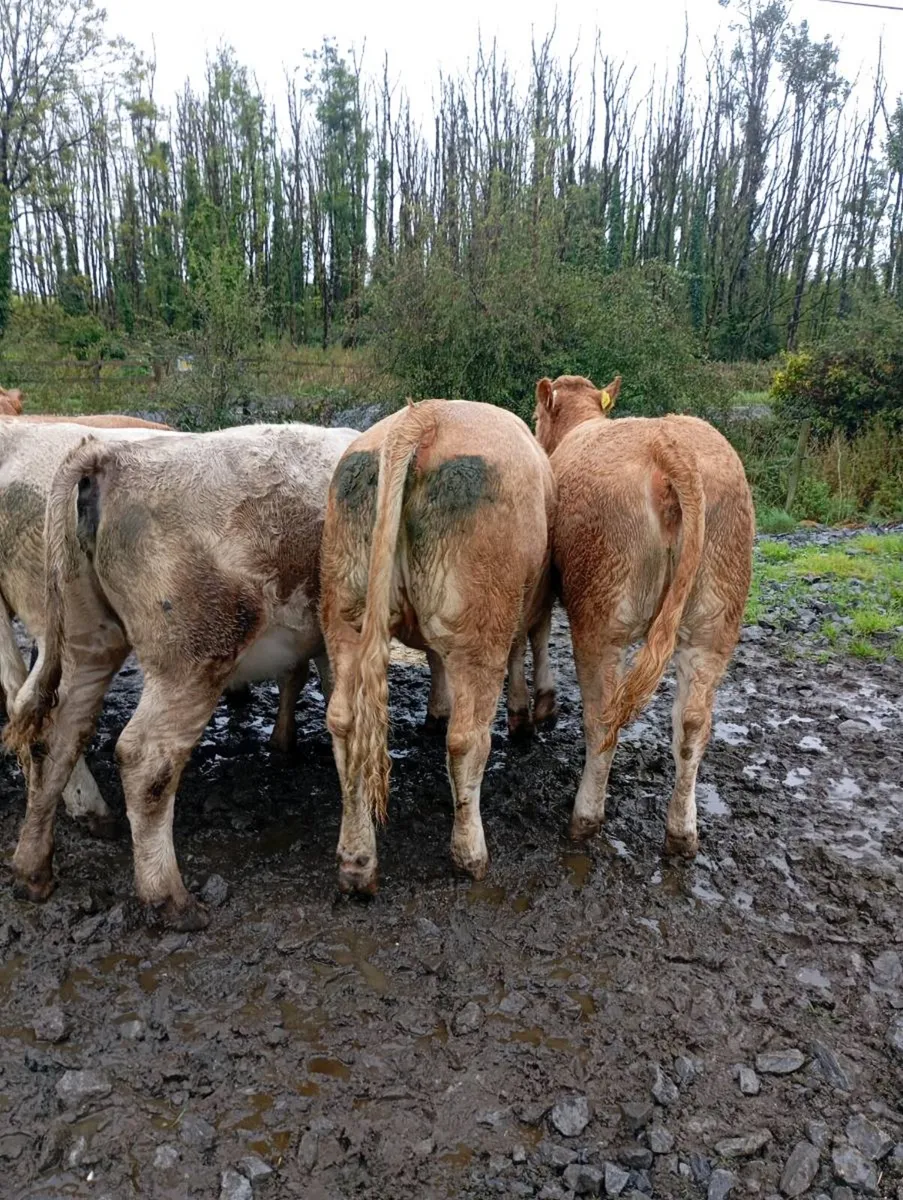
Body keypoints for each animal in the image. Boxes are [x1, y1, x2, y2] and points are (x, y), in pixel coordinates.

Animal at [5, 422, 358, 929]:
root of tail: (109, 454)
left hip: (86, 642)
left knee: (55, 738)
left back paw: (33, 870)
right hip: (193, 658)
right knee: (145, 759)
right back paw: (169, 897)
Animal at [320, 399, 556, 896]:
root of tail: (422, 417)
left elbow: (433, 657)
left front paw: (435, 710)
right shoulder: (533, 597)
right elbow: (524, 647)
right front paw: (525, 717)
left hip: (344, 605)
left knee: (344, 722)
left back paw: (356, 862)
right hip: (482, 615)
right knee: (467, 739)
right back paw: (470, 854)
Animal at [534, 374, 754, 857]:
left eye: (536, 414)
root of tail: (669, 444)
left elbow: (538, 634)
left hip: (601, 614)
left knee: (603, 717)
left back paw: (585, 817)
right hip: (716, 618)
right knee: (692, 725)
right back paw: (682, 832)